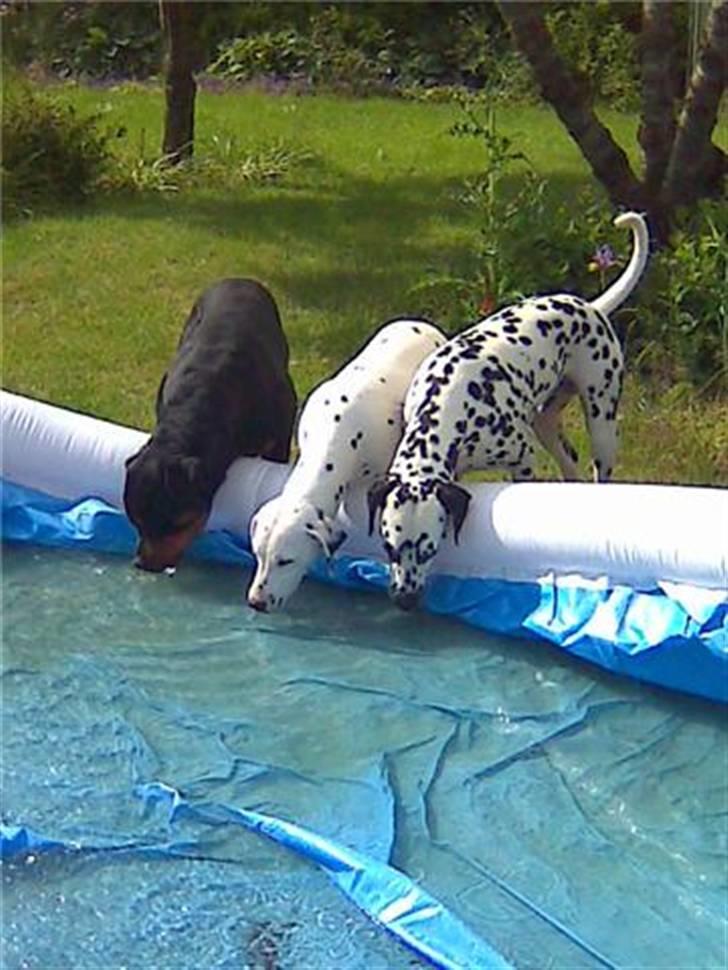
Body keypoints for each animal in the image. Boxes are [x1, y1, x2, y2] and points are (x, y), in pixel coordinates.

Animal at [370, 211, 648, 608]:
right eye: (389, 547)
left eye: (428, 549)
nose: (404, 600)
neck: (447, 410)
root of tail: (591, 307)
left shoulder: (523, 458)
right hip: (547, 425)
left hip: (602, 423)